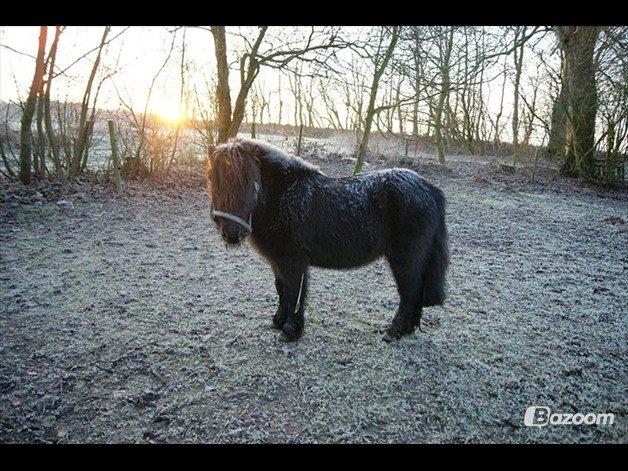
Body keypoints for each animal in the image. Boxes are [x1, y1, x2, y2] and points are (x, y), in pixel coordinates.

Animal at [209, 137, 448, 342]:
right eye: (214, 181)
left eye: (251, 183)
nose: (231, 233)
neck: (283, 195)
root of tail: (427, 187)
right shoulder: (278, 261)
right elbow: (281, 289)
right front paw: (278, 321)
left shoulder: (293, 261)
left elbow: (294, 291)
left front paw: (291, 330)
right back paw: (408, 329)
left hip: (405, 259)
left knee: (410, 291)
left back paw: (395, 331)